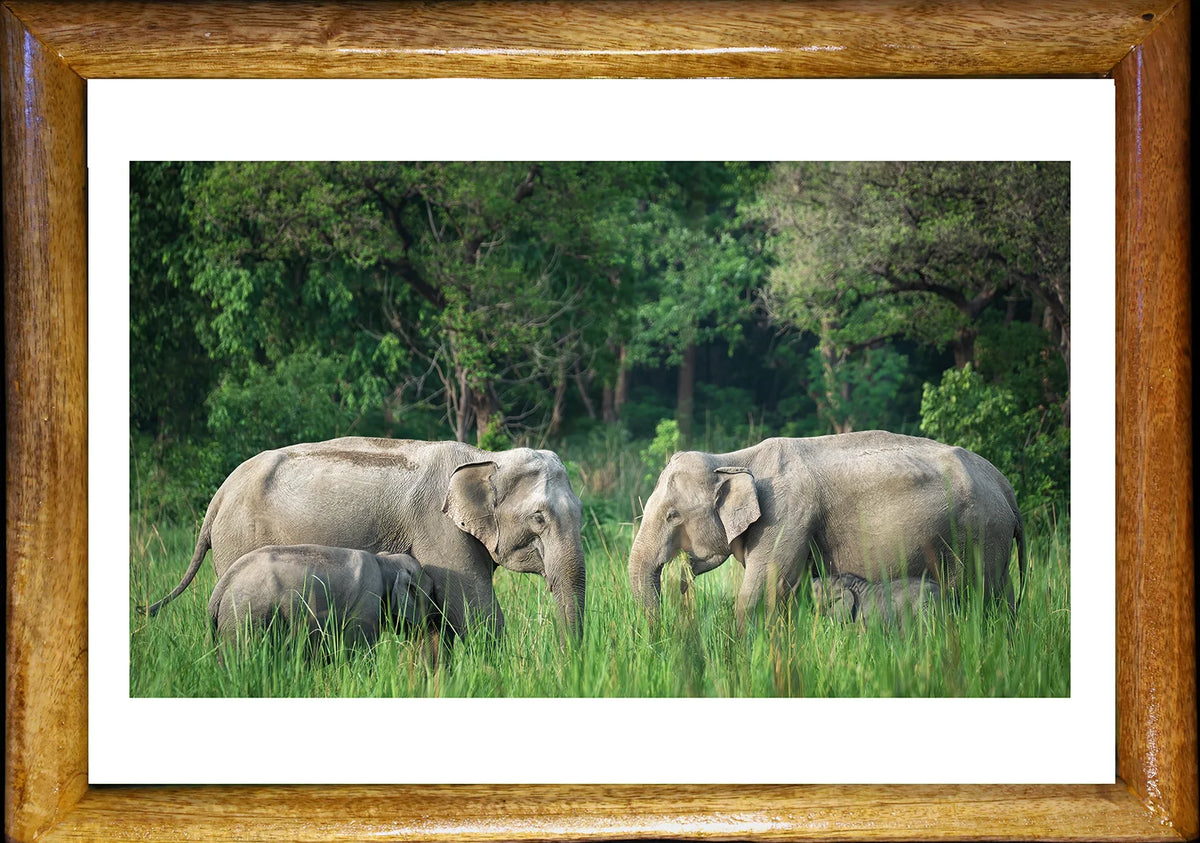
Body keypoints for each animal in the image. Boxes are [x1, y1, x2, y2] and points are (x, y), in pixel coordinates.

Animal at [144, 437, 586, 642]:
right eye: (539, 517)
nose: (568, 666)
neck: (485, 456)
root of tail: (218, 497)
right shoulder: (438, 528)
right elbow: (475, 612)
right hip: (238, 539)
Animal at [208, 545, 439, 655]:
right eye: (430, 596)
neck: (385, 561)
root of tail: (221, 587)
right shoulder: (365, 606)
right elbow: (360, 652)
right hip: (247, 617)